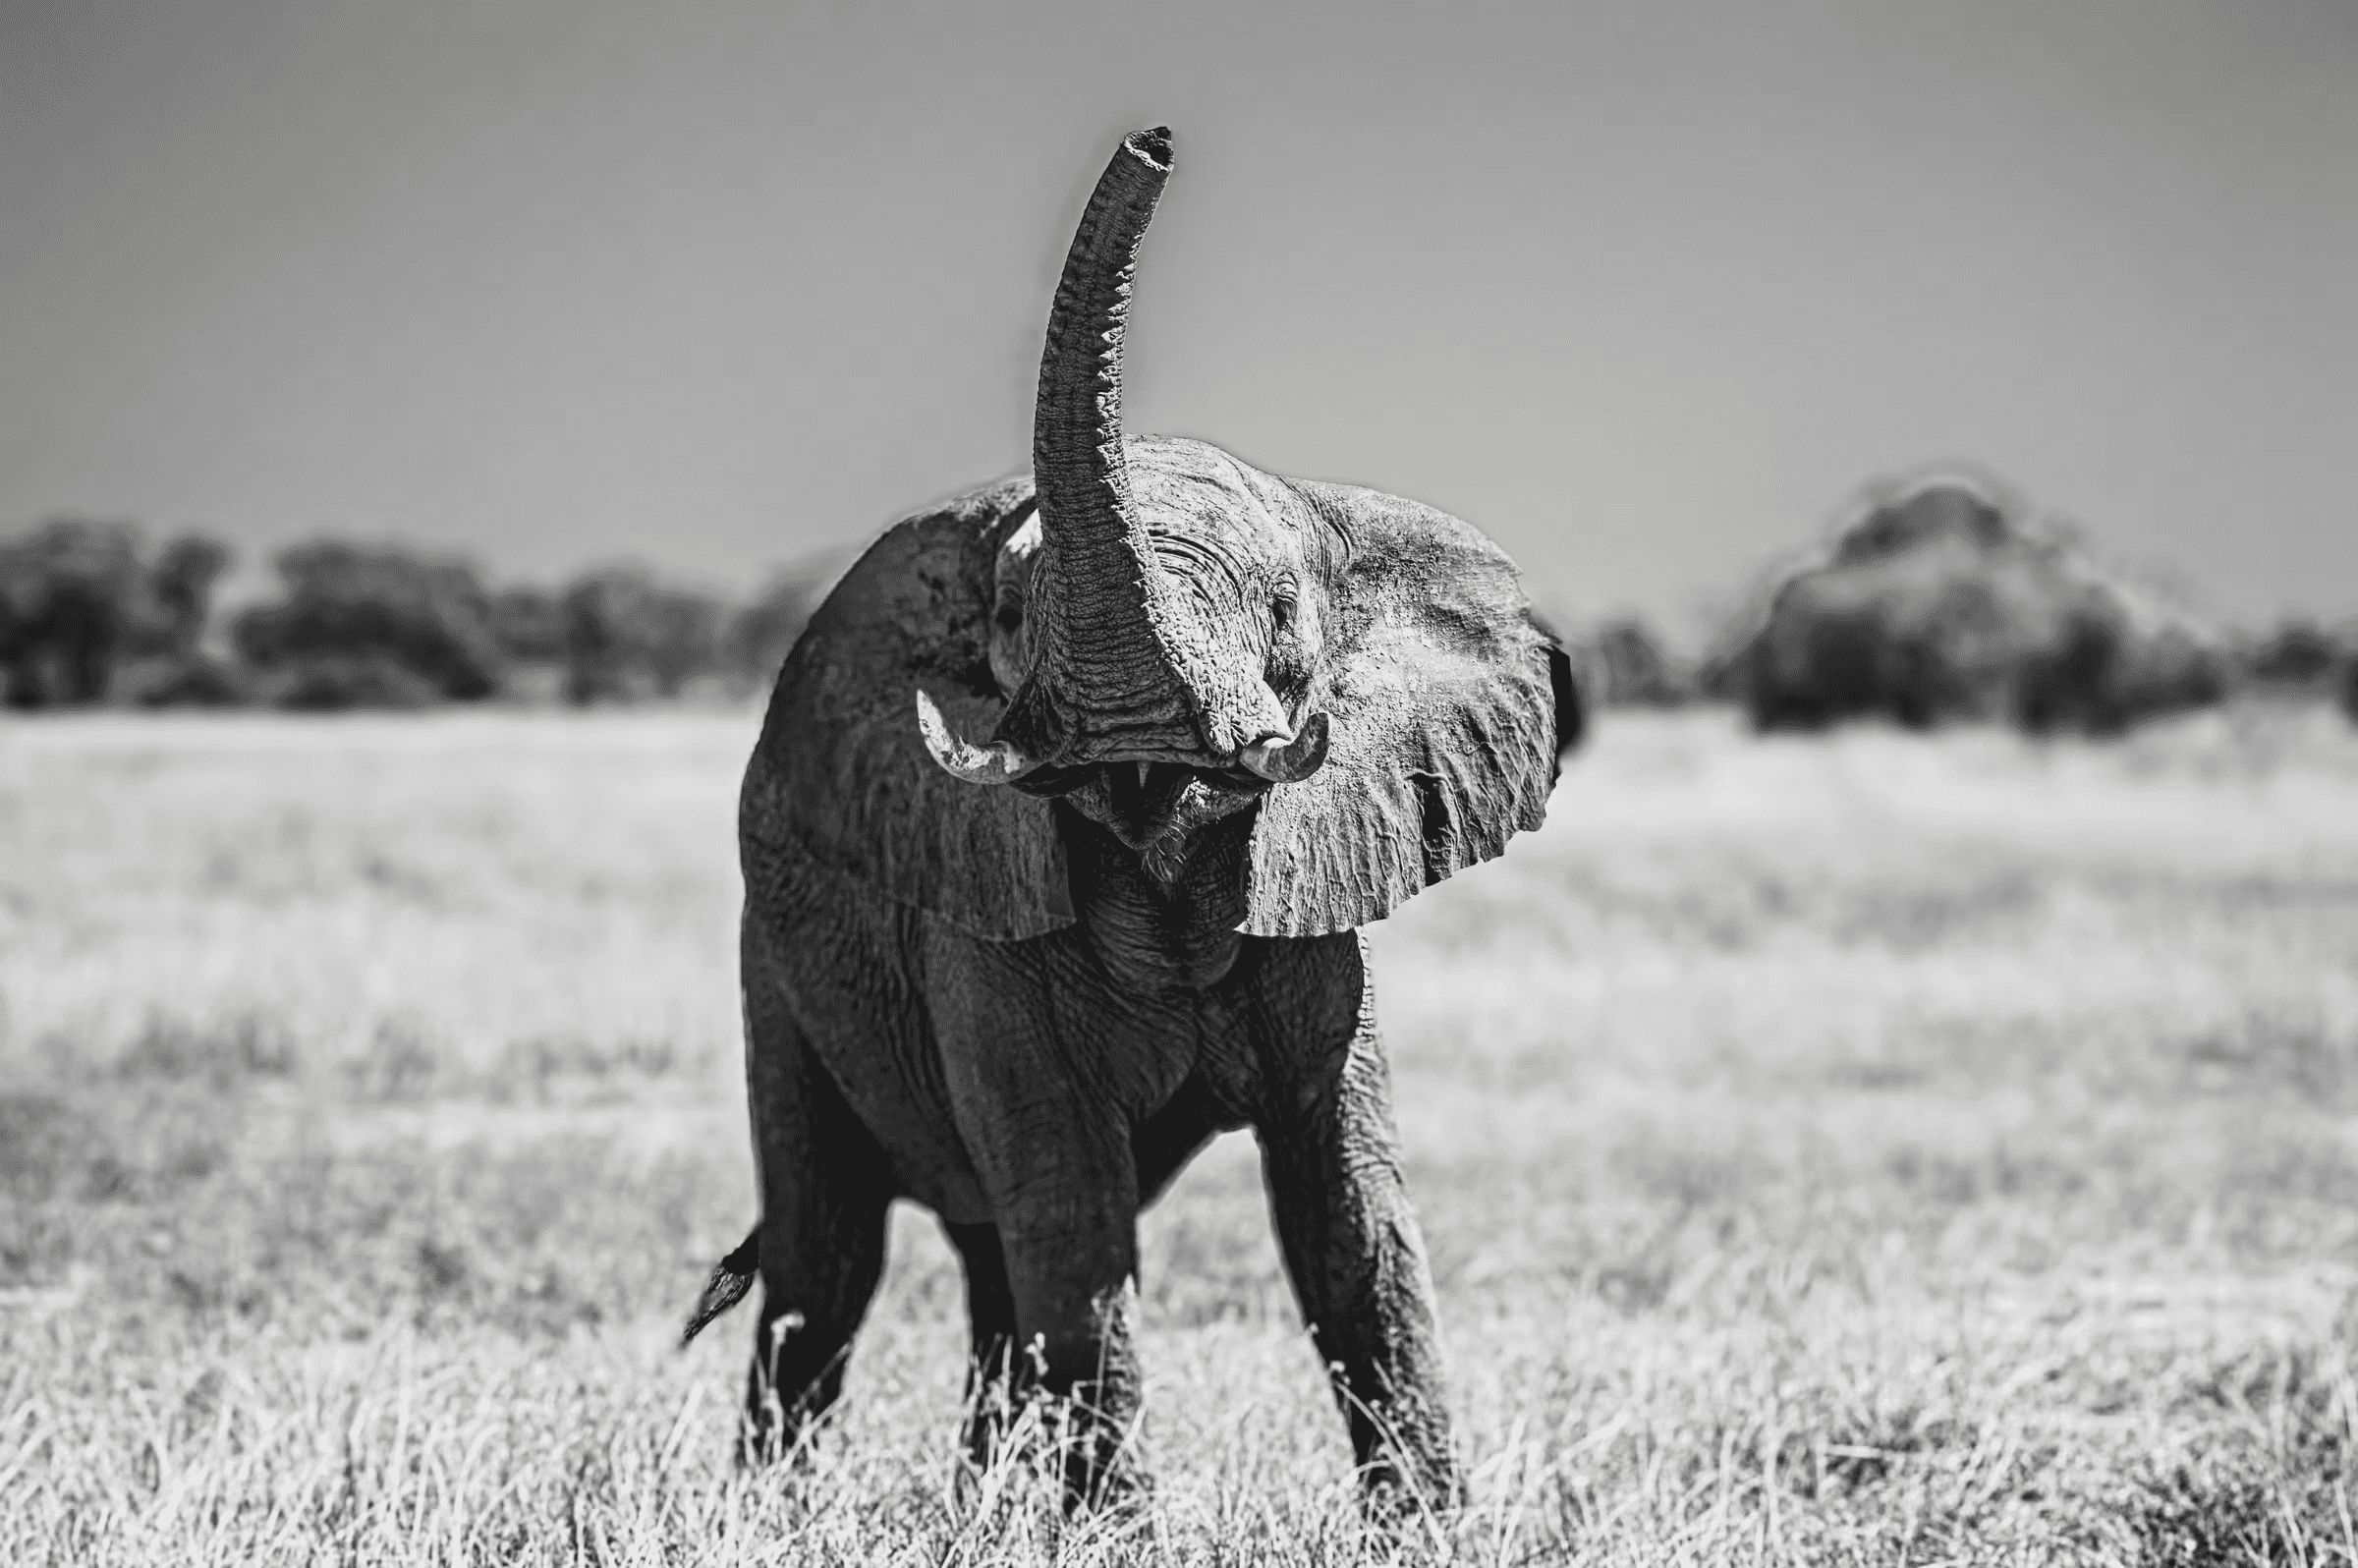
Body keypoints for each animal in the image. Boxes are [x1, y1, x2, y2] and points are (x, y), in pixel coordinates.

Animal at [682, 127, 1570, 1510]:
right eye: (1006, 618)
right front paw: (1119, 1531)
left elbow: (1348, 1209)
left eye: (1281, 612)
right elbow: (1075, 1215)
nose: (1155, 142)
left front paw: (1429, 1530)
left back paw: (984, 1512)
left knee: (984, 1266)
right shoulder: (978, 912)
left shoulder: (1317, 898)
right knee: (830, 1260)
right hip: (776, 968)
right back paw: (780, 1512)